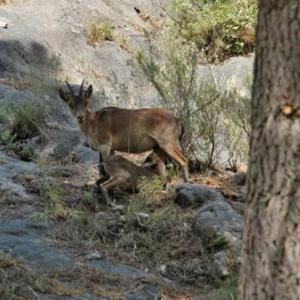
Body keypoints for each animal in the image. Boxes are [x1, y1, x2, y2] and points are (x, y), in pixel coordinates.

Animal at [58, 79, 189, 182]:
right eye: (70, 103)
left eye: (86, 102)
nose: (80, 117)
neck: (93, 122)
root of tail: (178, 121)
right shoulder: (111, 149)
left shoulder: (105, 145)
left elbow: (103, 166)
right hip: (158, 147)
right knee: (163, 168)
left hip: (168, 143)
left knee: (184, 161)